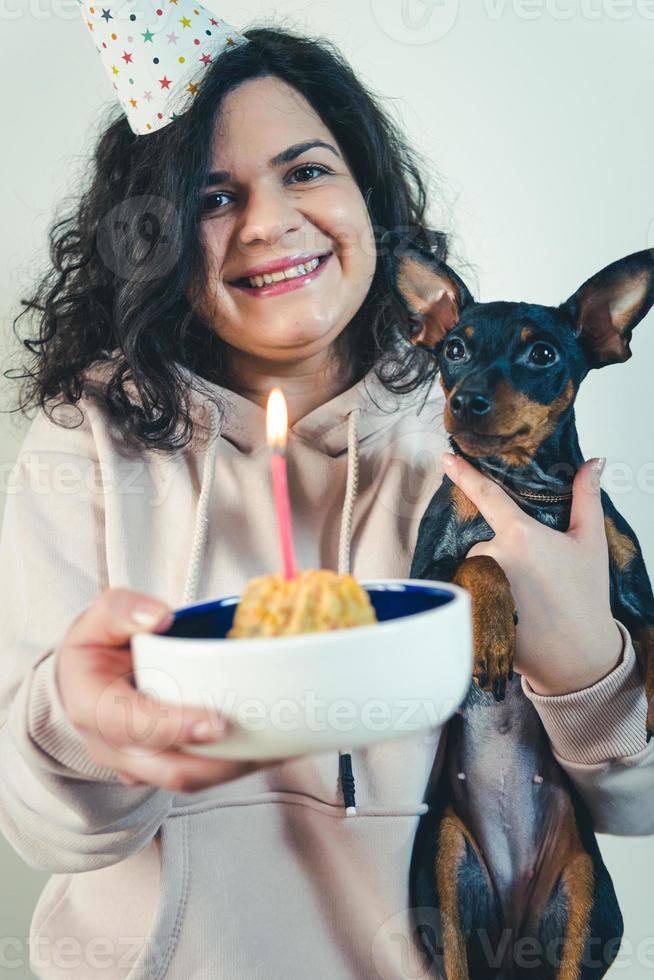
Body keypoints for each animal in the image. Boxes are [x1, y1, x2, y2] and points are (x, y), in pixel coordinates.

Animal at [384, 232, 654, 980]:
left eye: (542, 355)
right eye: (454, 349)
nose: (468, 399)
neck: (527, 491)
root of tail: (511, 939)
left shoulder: (631, 595)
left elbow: (652, 641)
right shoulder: (426, 575)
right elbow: (479, 559)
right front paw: (495, 632)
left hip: (586, 898)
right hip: (445, 868)